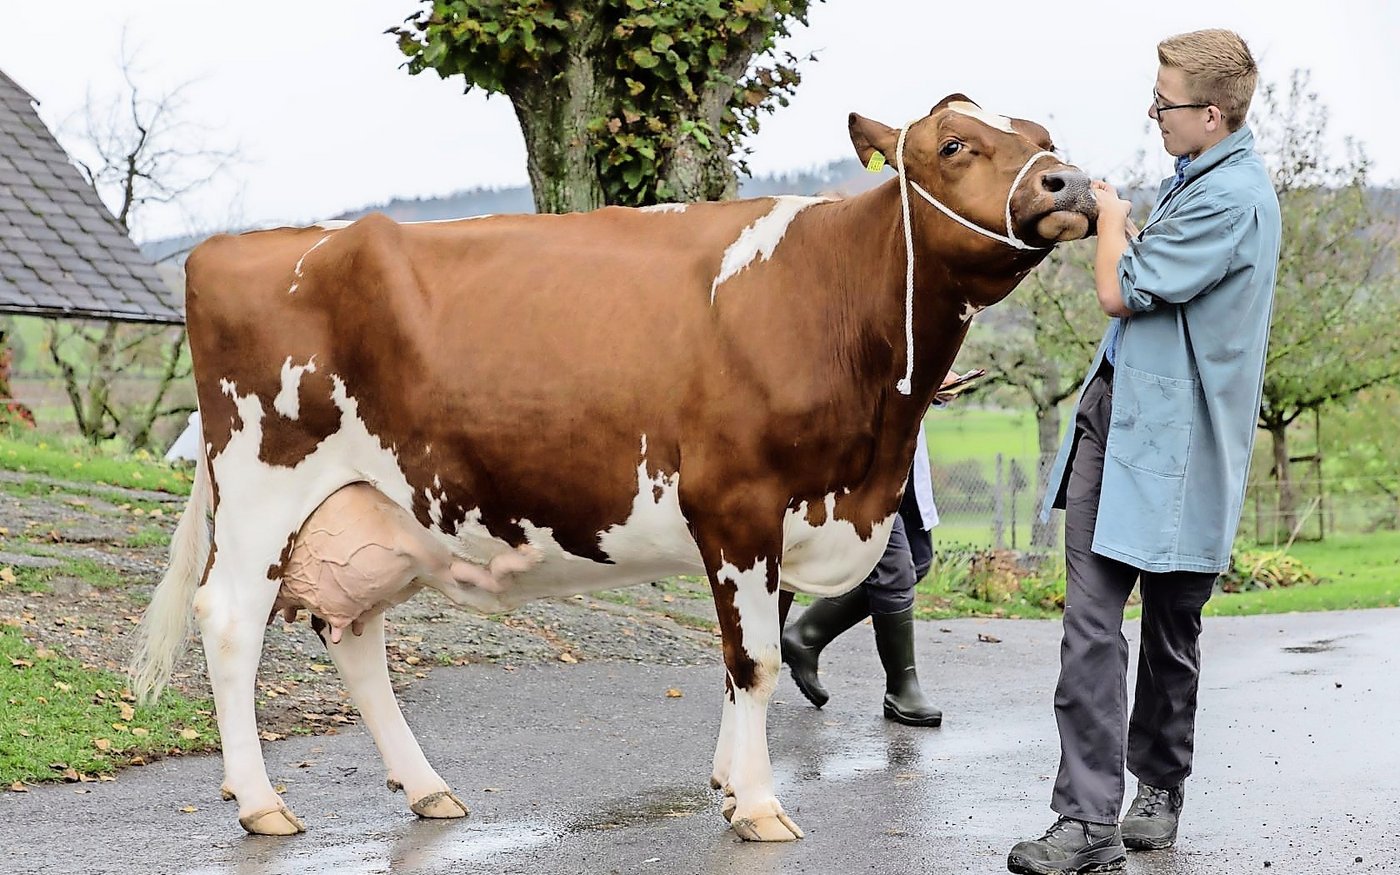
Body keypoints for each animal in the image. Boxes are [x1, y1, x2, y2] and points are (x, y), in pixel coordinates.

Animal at [132, 94, 1096, 841]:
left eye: (1042, 130)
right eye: (954, 144)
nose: (1072, 183)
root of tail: (231, 245)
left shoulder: (784, 516)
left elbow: (744, 654)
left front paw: (726, 782)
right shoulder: (738, 503)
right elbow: (754, 659)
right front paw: (758, 804)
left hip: (374, 508)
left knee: (354, 634)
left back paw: (428, 788)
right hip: (263, 483)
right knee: (231, 618)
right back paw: (261, 802)